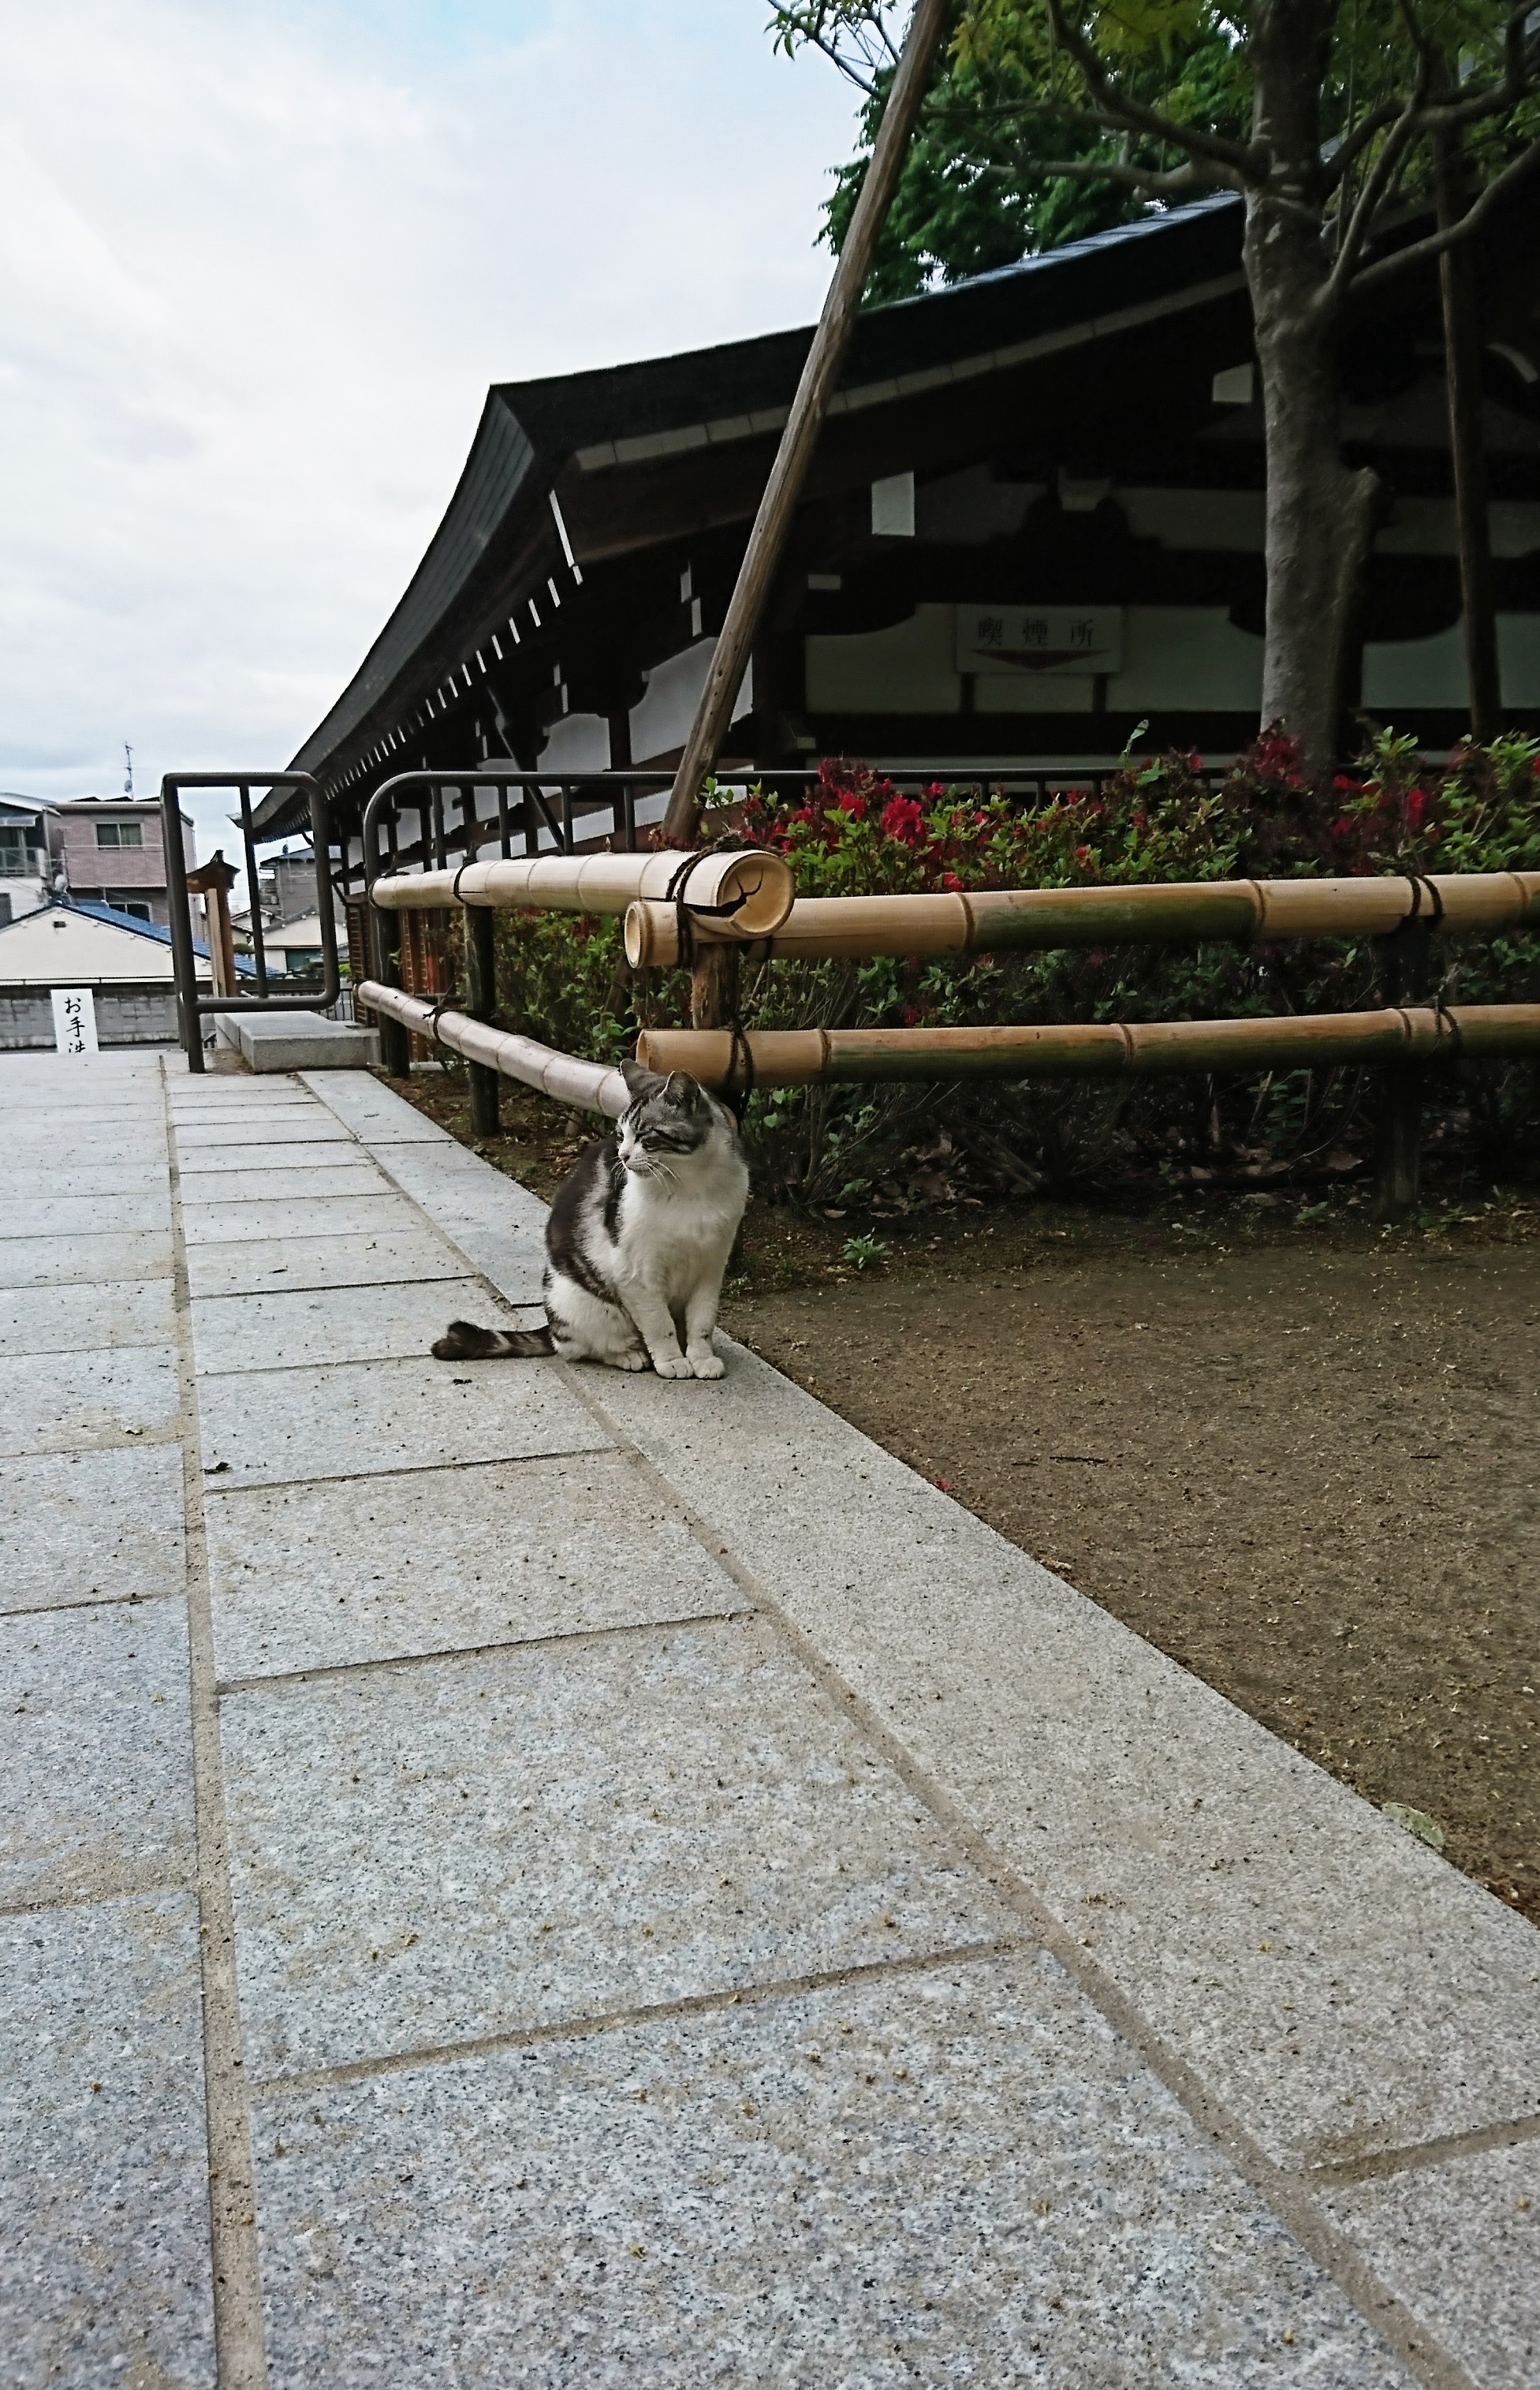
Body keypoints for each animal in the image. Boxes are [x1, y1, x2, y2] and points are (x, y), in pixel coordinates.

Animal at [430, 1066, 749, 1386]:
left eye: (644, 1135)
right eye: (621, 1135)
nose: (622, 1155)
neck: (692, 1185)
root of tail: (551, 1325)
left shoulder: (711, 1269)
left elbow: (702, 1323)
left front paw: (702, 1359)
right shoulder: (637, 1274)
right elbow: (660, 1324)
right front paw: (672, 1361)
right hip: (588, 1305)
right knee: (583, 1347)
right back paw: (631, 1356)